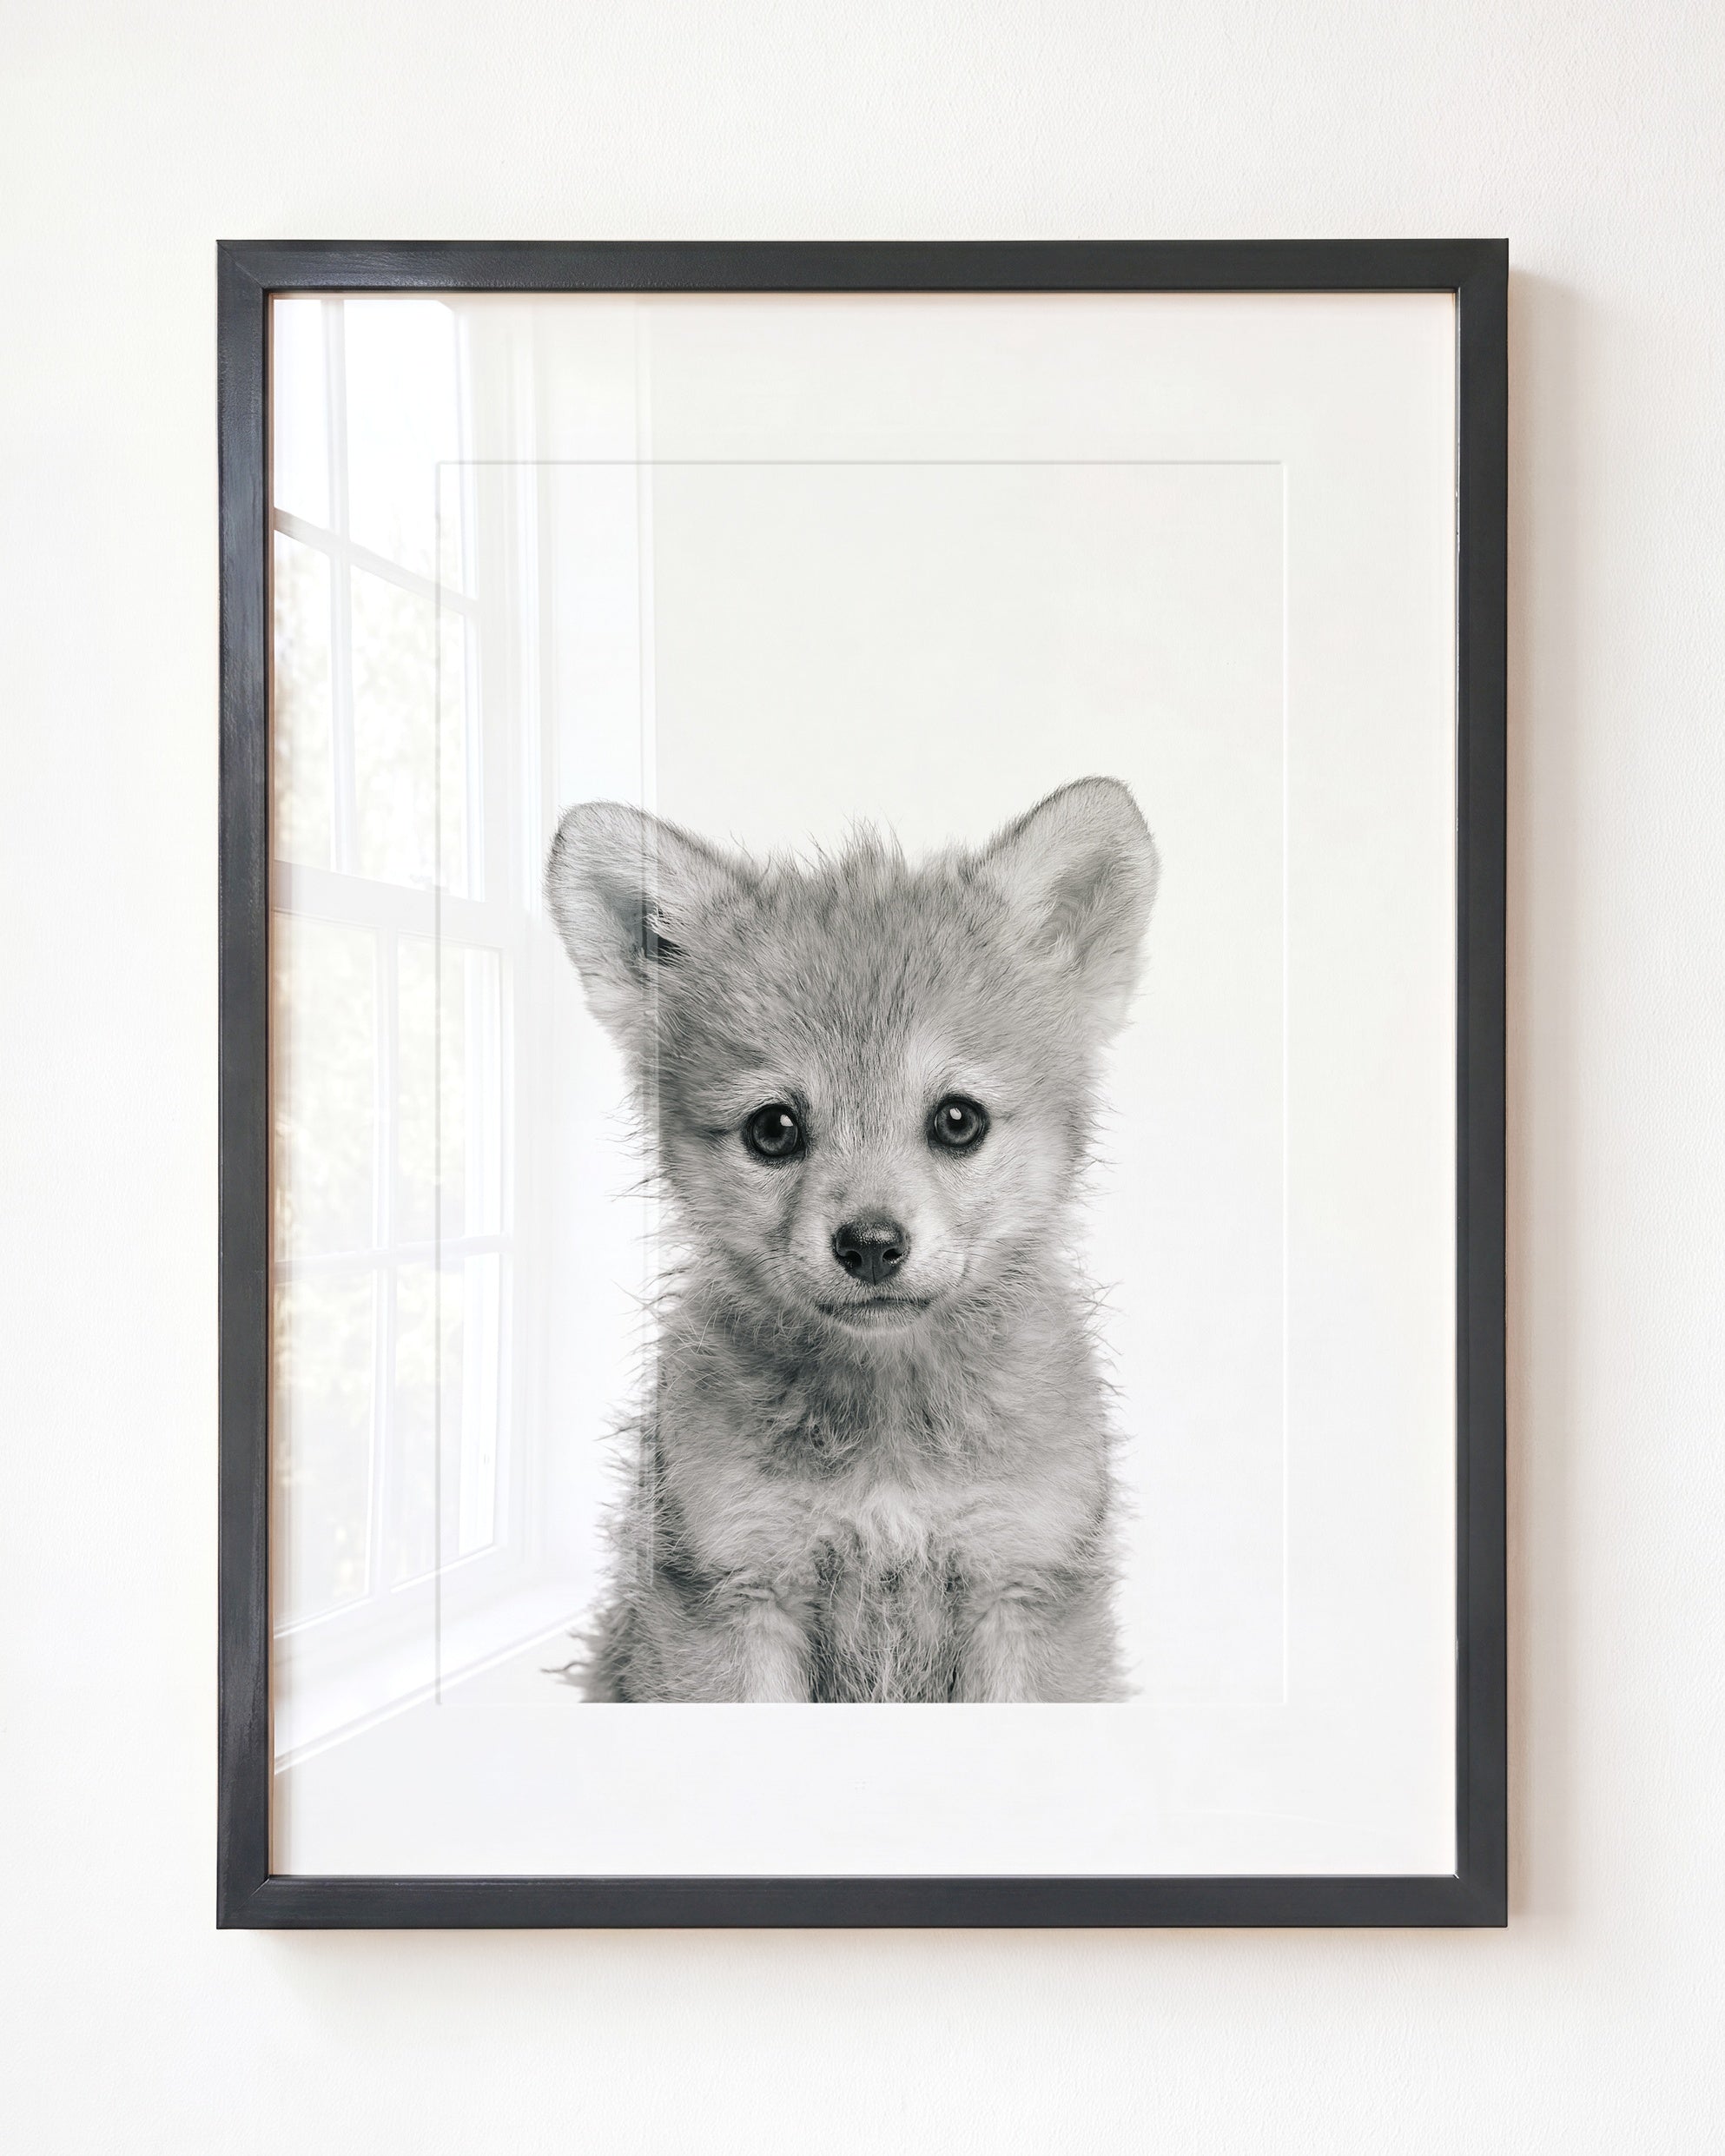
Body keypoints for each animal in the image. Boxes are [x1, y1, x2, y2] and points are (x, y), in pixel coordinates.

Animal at [545, 776, 1159, 1702]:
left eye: (957, 1120)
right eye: (773, 1130)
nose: (871, 1245)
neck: (888, 1439)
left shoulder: (1022, 1586)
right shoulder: (735, 1593)